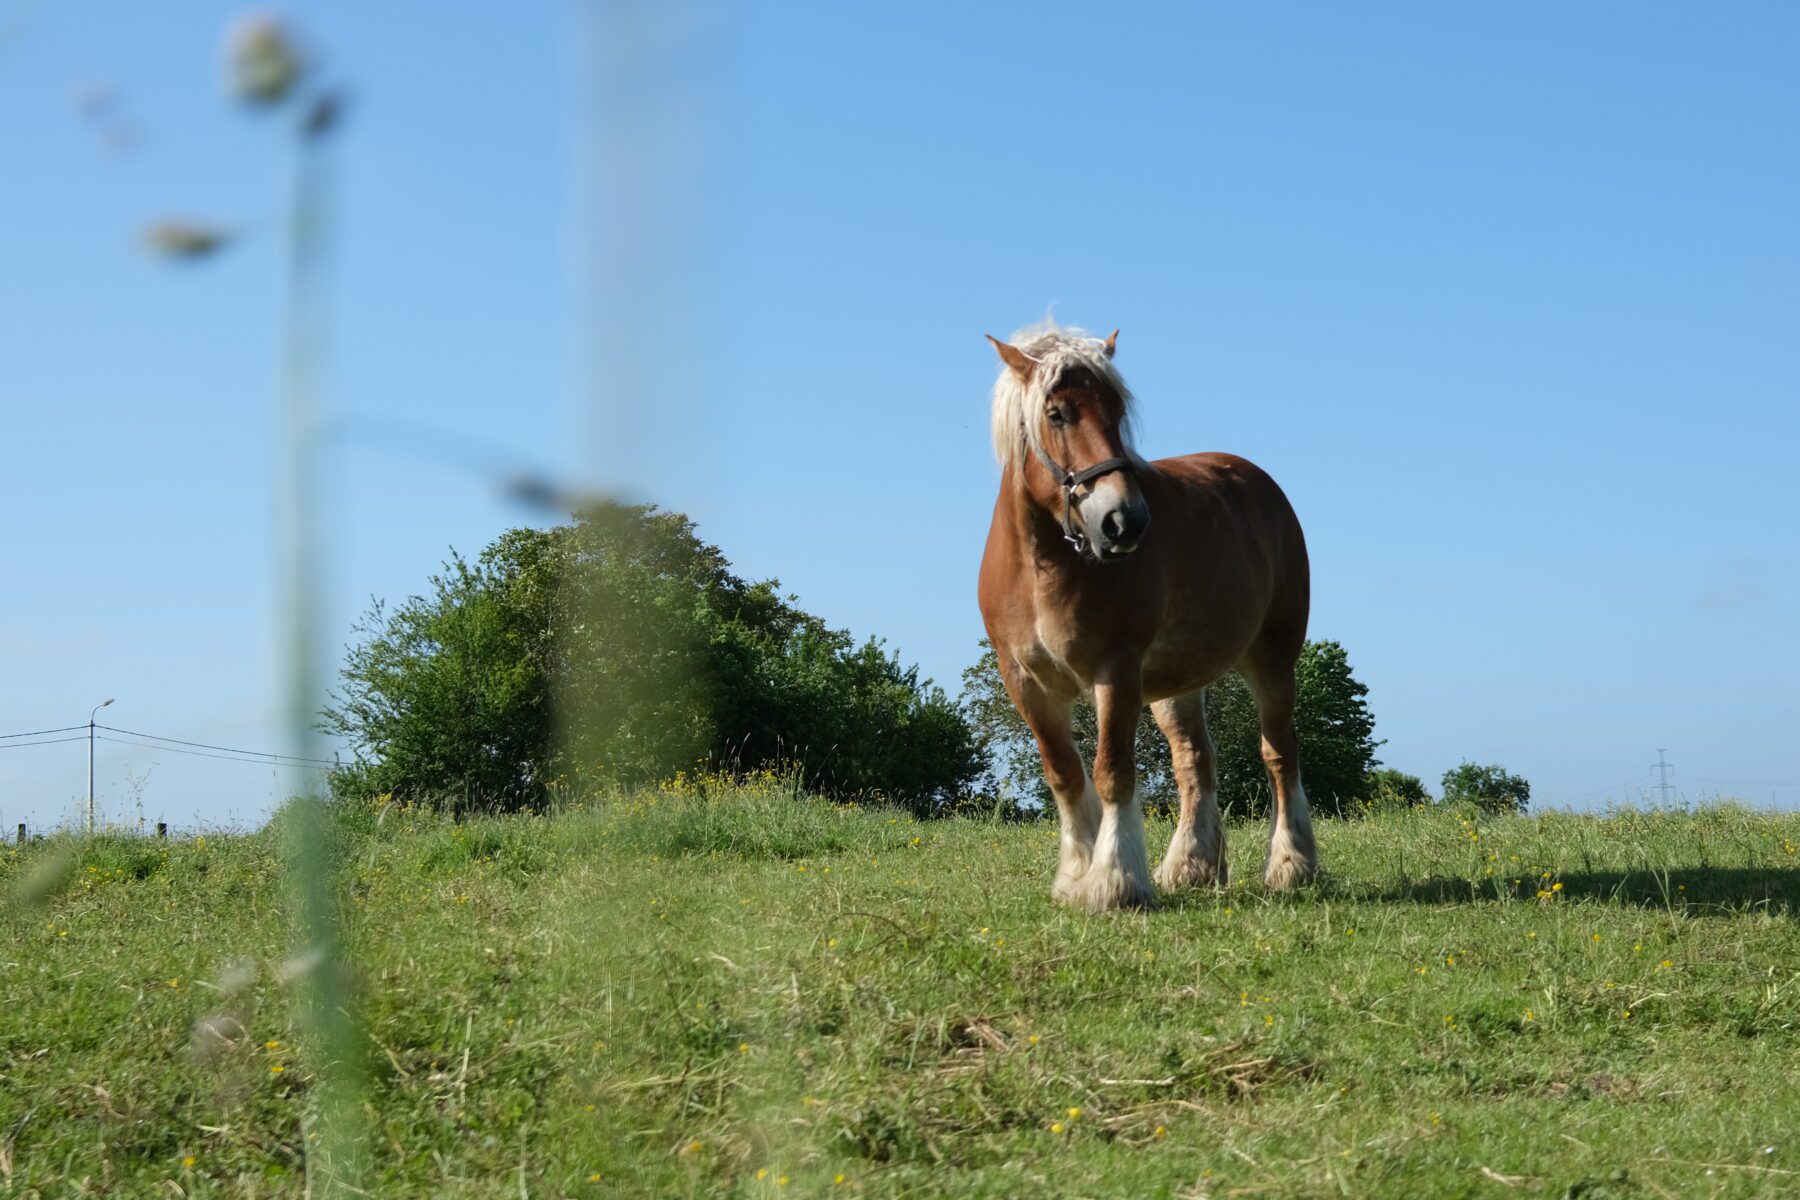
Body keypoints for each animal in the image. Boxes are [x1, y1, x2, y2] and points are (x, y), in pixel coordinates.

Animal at [979, 318, 1317, 910]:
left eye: (1117, 412)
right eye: (1057, 413)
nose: (1125, 520)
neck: (1042, 567)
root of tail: (1259, 483)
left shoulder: (1115, 672)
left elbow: (1111, 772)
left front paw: (1115, 881)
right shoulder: (1026, 683)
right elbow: (1065, 774)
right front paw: (1076, 874)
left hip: (1273, 658)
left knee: (1279, 754)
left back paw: (1291, 865)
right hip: (1176, 684)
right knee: (1194, 761)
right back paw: (1192, 867)